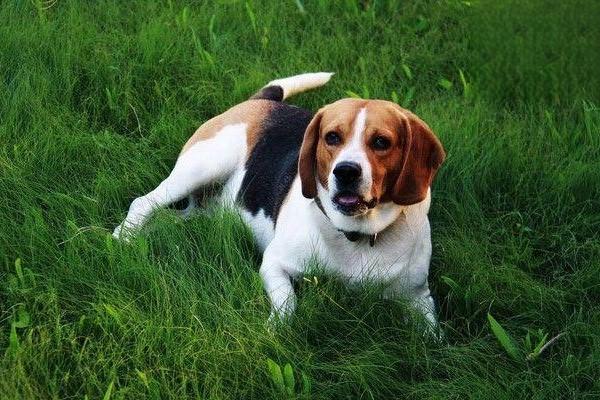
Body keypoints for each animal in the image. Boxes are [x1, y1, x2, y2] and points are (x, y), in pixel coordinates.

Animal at [113, 73, 446, 330]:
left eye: (381, 142)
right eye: (332, 137)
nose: (346, 171)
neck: (357, 235)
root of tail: (260, 102)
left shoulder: (418, 297)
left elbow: (433, 335)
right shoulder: (274, 264)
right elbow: (288, 303)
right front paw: (276, 330)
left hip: (200, 210)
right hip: (203, 166)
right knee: (144, 202)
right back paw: (124, 238)